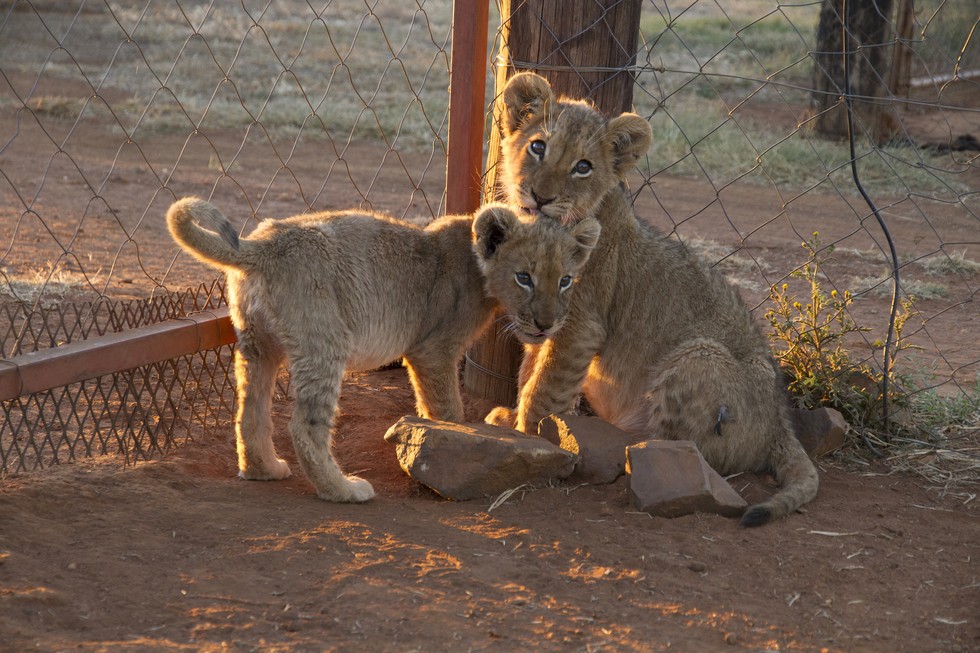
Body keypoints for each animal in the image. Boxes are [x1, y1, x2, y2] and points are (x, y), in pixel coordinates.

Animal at [167, 197, 600, 502]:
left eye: (565, 280)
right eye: (524, 278)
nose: (547, 324)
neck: (478, 264)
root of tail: (261, 247)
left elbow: (430, 405)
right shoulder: (433, 349)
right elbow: (449, 408)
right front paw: (453, 449)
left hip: (257, 345)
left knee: (249, 412)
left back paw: (264, 469)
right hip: (325, 342)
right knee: (305, 426)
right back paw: (342, 490)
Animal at [485, 73, 819, 527]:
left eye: (583, 167)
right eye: (538, 146)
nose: (541, 196)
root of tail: (781, 424)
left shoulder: (578, 325)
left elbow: (545, 389)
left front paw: (529, 437)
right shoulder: (545, 322)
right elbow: (528, 374)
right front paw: (513, 420)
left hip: (699, 355)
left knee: (684, 451)